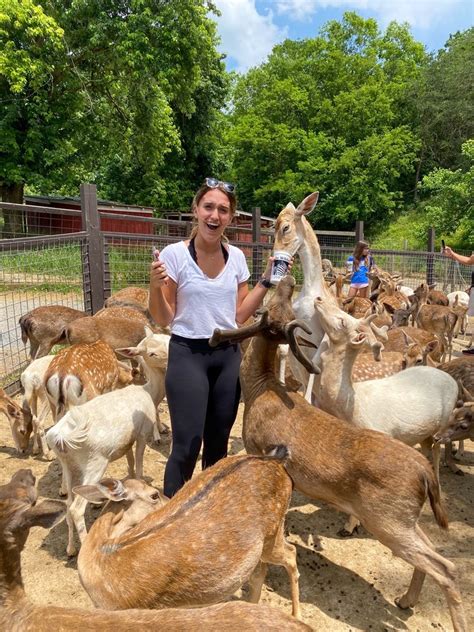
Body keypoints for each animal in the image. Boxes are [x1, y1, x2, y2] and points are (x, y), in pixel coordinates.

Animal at [210, 276, 466, 632]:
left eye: (272, 308)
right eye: (281, 305)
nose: (286, 279)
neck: (260, 389)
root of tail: (424, 472)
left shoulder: (255, 447)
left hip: (387, 519)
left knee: (447, 568)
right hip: (403, 518)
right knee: (435, 553)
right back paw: (405, 600)